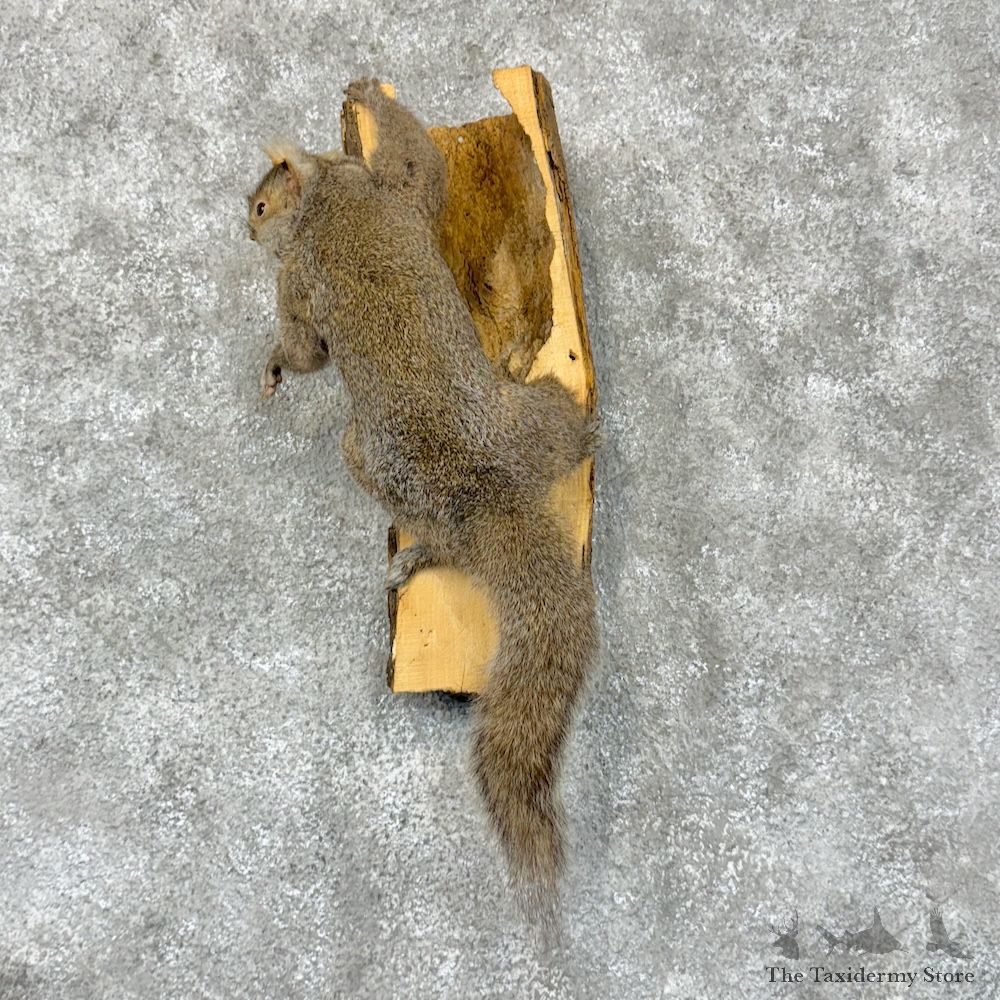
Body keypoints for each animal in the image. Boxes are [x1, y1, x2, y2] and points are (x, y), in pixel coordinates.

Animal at [247, 78, 599, 917]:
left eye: (262, 204)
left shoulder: (329, 243)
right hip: (520, 425)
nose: (246, 230)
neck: (326, 199)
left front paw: (367, 93)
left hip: (381, 454)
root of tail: (484, 492)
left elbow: (417, 171)